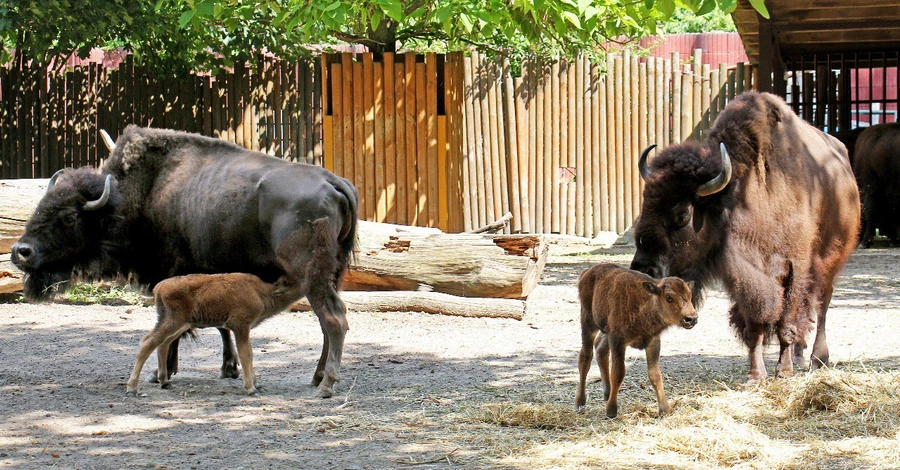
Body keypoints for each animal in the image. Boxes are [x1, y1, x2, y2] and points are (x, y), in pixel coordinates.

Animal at [126, 270, 302, 398]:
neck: (260, 292)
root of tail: (159, 287)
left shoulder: (244, 330)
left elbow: (250, 354)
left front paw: (257, 385)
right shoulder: (240, 327)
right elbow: (245, 355)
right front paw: (251, 389)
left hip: (179, 324)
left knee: (163, 344)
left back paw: (165, 382)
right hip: (173, 322)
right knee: (148, 342)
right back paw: (132, 389)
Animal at [576, 264, 696, 418]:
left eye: (690, 295)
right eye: (669, 297)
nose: (691, 318)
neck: (645, 303)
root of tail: (586, 272)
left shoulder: (653, 342)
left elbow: (655, 375)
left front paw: (664, 409)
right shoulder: (618, 341)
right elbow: (618, 372)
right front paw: (611, 411)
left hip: (605, 330)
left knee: (600, 349)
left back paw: (607, 393)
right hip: (588, 322)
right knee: (585, 357)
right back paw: (580, 402)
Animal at [628, 91, 860, 382]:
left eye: (682, 214)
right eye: (645, 204)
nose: (643, 269)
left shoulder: (795, 267)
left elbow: (786, 322)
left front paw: (783, 371)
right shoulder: (744, 276)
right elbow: (754, 328)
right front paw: (755, 375)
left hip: (829, 261)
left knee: (822, 306)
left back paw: (818, 359)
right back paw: (799, 353)